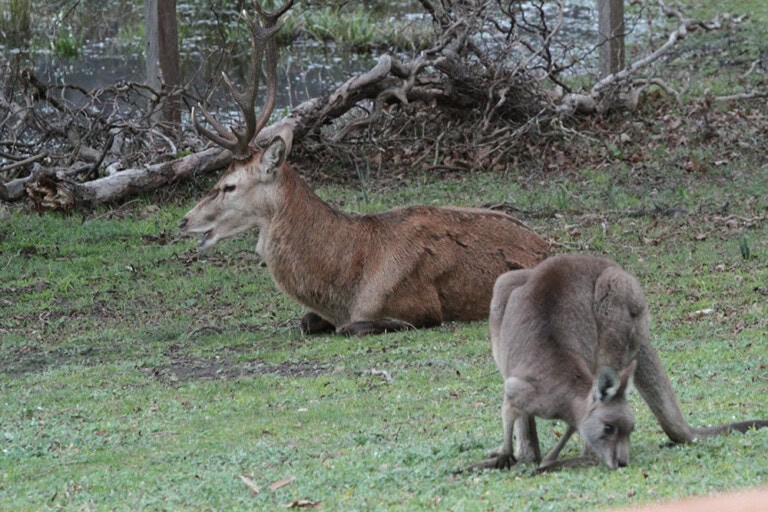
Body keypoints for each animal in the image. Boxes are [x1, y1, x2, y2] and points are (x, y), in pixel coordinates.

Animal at [178, 0, 549, 336]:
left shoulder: (421, 307)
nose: (184, 220)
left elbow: (350, 328)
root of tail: (546, 246)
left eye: (229, 185)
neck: (345, 290)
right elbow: (306, 321)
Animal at [471, 254, 768, 472]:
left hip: (616, 299)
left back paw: (566, 460)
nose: (622, 462)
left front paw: (549, 460)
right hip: (504, 291)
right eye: (608, 429)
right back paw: (521, 458)